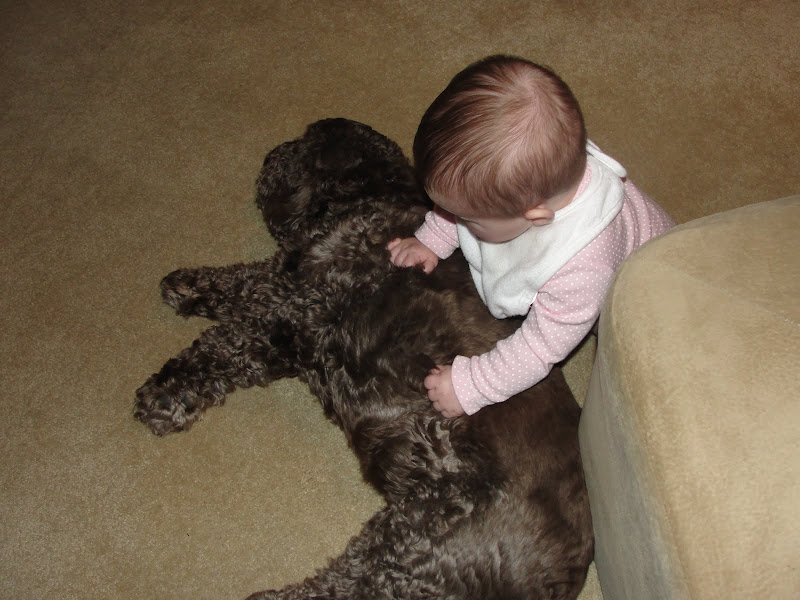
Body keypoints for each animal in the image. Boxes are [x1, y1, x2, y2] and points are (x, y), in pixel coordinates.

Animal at [134, 118, 593, 599]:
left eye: (304, 144)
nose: (271, 154)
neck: (373, 195)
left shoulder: (298, 310)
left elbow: (225, 342)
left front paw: (167, 391)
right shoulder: (292, 295)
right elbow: (242, 280)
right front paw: (189, 284)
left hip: (418, 543)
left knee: (348, 585)